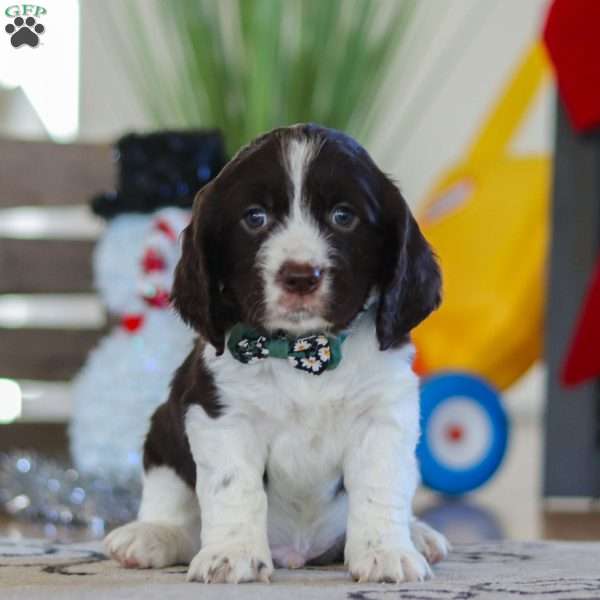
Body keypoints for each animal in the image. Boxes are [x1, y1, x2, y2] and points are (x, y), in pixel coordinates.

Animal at [105, 124, 448, 584]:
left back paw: (419, 534)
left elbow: (381, 484)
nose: (301, 276)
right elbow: (234, 486)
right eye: (255, 218)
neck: (305, 352)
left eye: (344, 216)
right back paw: (151, 536)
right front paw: (231, 554)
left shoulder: (384, 414)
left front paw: (386, 551)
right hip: (162, 431)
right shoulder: (221, 415)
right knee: (176, 508)